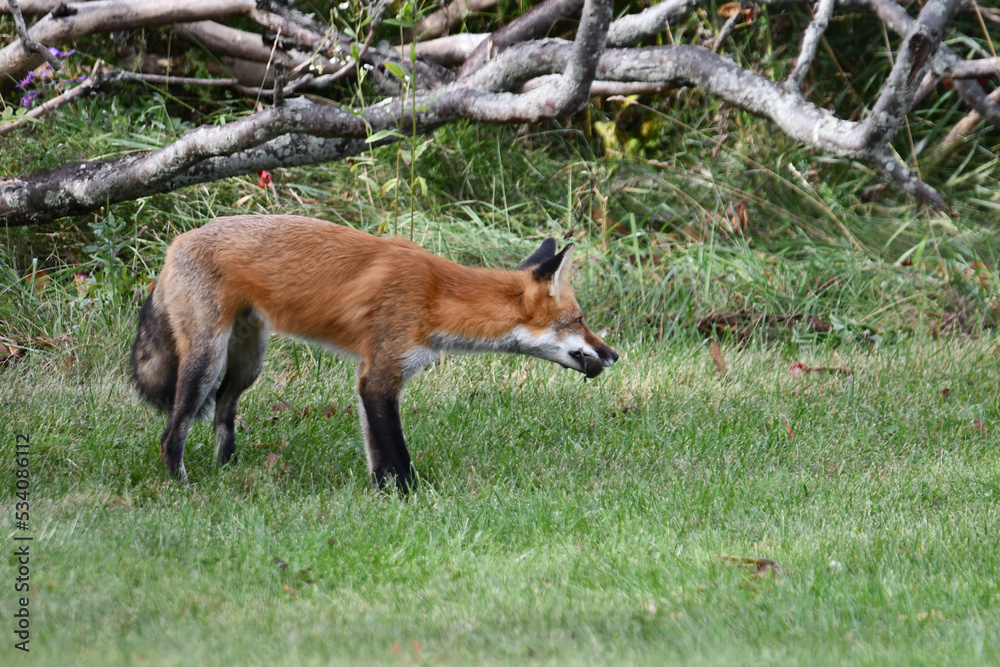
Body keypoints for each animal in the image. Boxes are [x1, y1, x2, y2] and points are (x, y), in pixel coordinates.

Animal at [131, 215, 616, 490]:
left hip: (248, 363)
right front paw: (410, 497)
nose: (612, 354)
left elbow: (377, 454)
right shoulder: (379, 377)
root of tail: (177, 242)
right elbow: (396, 454)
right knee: (171, 435)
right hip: (207, 360)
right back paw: (184, 487)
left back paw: (228, 471)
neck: (437, 296)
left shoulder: (374, 379)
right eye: (579, 320)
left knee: (223, 413)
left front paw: (383, 496)